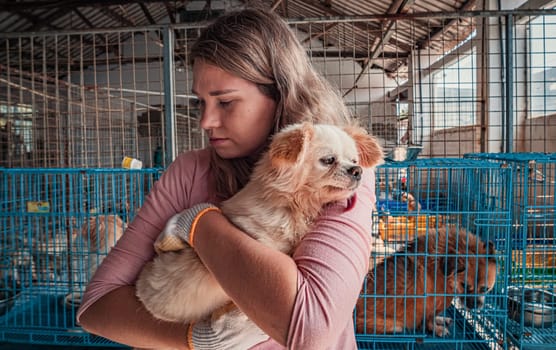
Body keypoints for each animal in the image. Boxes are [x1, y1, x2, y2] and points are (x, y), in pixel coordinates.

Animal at [358, 226, 498, 338]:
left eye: (485, 288)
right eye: (464, 285)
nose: (474, 306)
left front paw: (439, 320)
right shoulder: (430, 303)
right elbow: (429, 320)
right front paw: (436, 329)